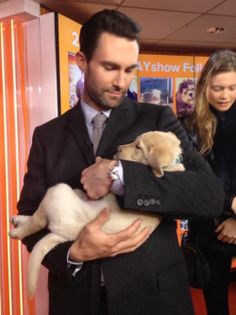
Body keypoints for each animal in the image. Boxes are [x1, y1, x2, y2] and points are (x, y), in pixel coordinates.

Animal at [9, 130, 184, 298]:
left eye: (138, 147)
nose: (118, 148)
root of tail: (67, 235)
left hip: (58, 191)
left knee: (37, 222)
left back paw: (16, 231)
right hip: (75, 193)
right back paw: (18, 219)